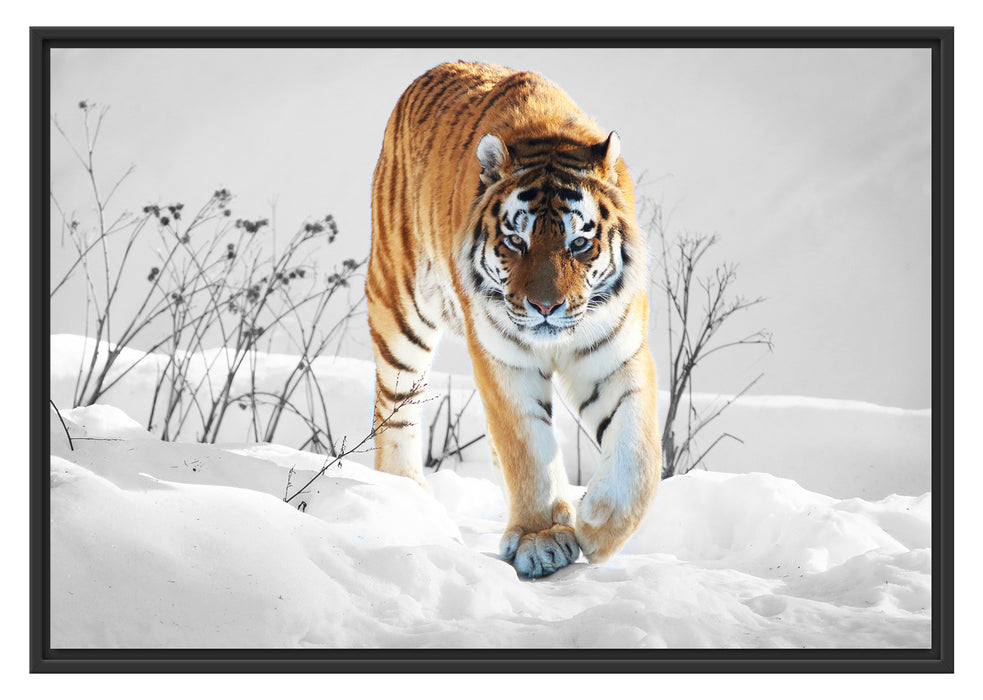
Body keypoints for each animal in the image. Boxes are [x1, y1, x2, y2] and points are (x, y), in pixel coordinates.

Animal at [366, 61, 662, 578]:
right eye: (515, 242)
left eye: (578, 244)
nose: (545, 307)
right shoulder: (503, 359)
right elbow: (528, 448)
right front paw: (541, 539)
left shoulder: (615, 354)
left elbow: (639, 450)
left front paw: (598, 525)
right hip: (399, 308)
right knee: (396, 408)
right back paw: (406, 496)